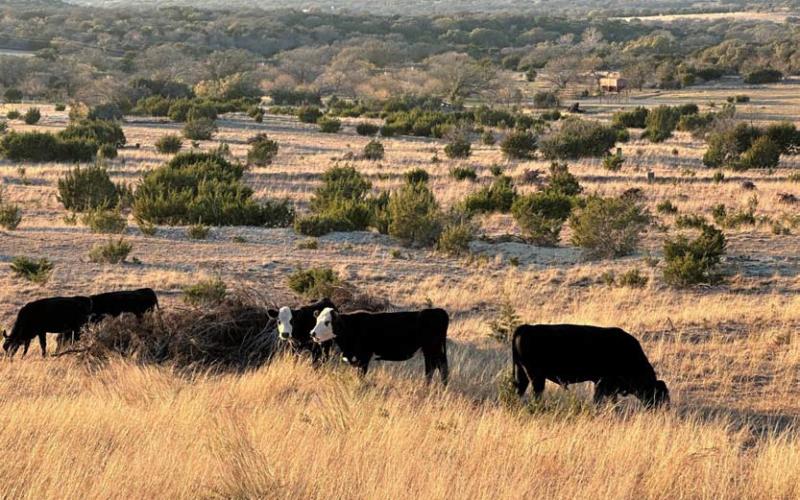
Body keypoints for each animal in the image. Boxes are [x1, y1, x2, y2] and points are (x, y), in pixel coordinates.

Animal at [310, 307, 449, 385]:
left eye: (327, 322)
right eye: (316, 320)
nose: (312, 333)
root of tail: (438, 311)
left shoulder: (364, 357)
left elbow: (361, 376)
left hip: (432, 348)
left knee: (436, 367)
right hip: (431, 350)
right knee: (436, 367)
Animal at [512, 324, 669, 408]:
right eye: (658, 394)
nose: (663, 409)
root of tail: (525, 328)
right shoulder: (603, 383)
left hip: (522, 375)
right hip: (536, 377)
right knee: (536, 392)